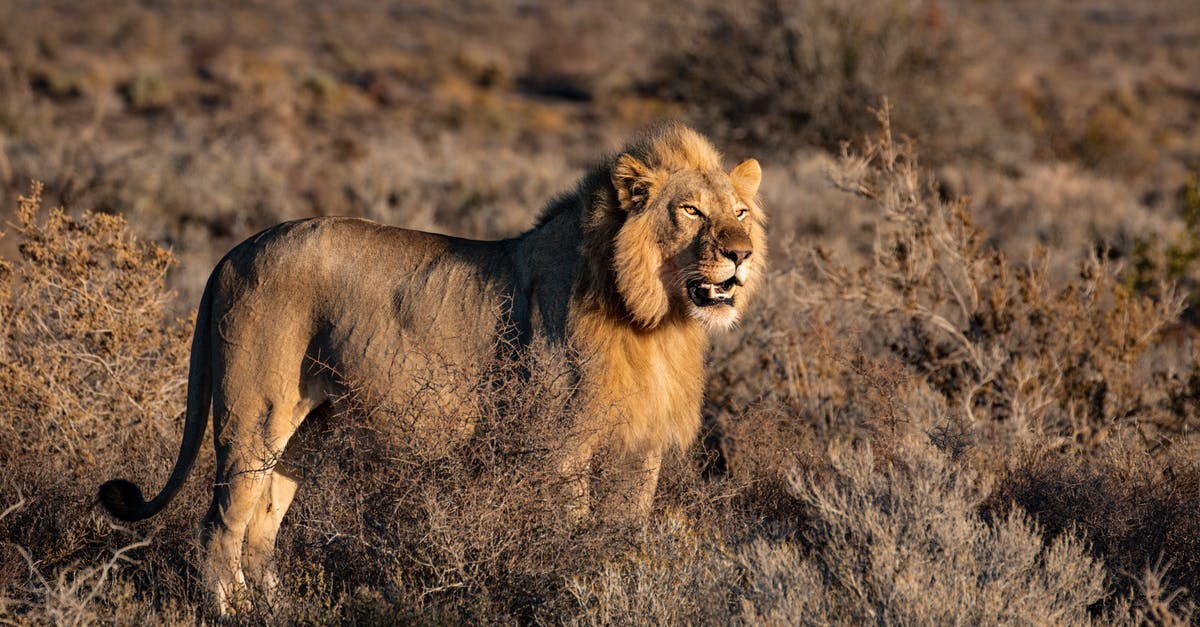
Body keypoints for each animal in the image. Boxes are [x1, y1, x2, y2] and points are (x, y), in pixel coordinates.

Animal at [98, 123, 763, 614]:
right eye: (691, 211)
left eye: (739, 212)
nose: (741, 254)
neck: (655, 320)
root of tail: (232, 253)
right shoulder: (563, 445)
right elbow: (571, 534)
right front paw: (574, 589)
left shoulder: (639, 448)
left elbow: (623, 536)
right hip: (253, 416)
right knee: (219, 526)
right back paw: (230, 612)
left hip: (307, 430)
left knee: (262, 528)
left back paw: (278, 610)